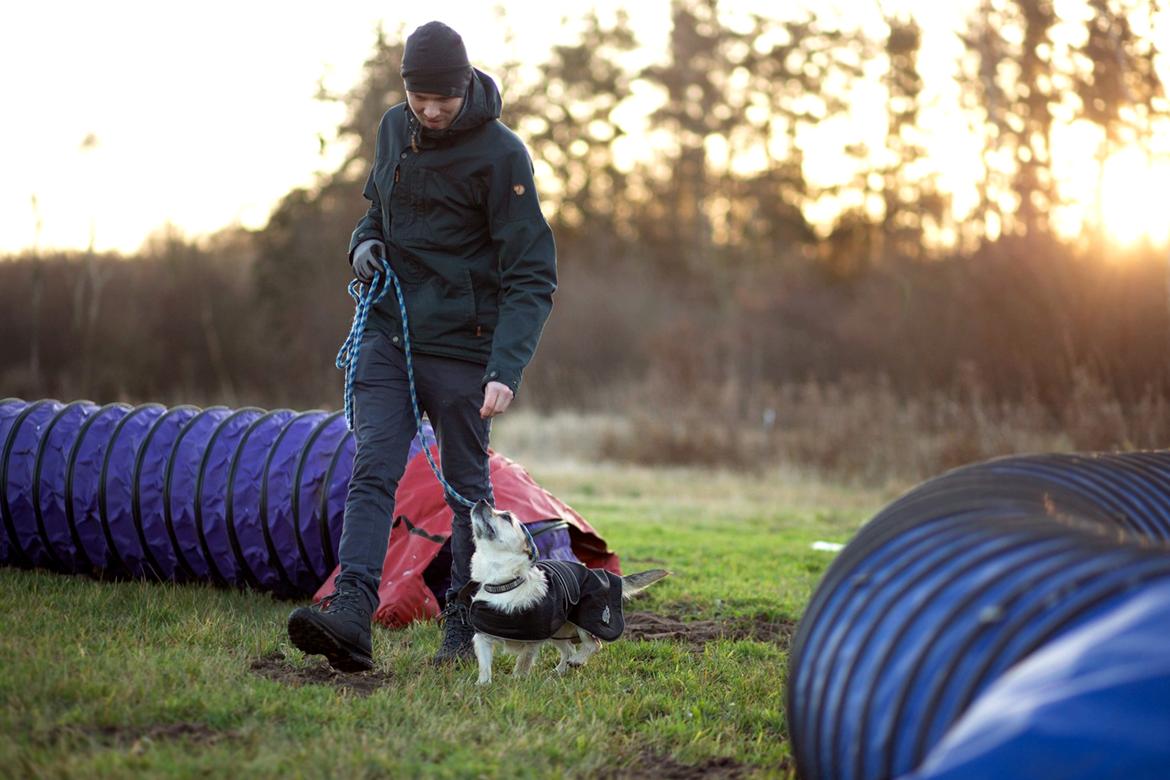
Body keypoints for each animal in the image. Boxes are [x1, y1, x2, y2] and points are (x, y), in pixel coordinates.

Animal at [460, 500, 673, 682]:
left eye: (506, 517)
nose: (481, 501)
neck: (505, 583)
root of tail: (607, 574)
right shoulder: (482, 638)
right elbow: (485, 666)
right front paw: (483, 685)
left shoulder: (533, 641)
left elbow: (523, 663)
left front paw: (517, 682)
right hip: (557, 630)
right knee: (569, 649)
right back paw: (560, 671)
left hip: (584, 623)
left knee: (593, 645)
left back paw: (578, 661)